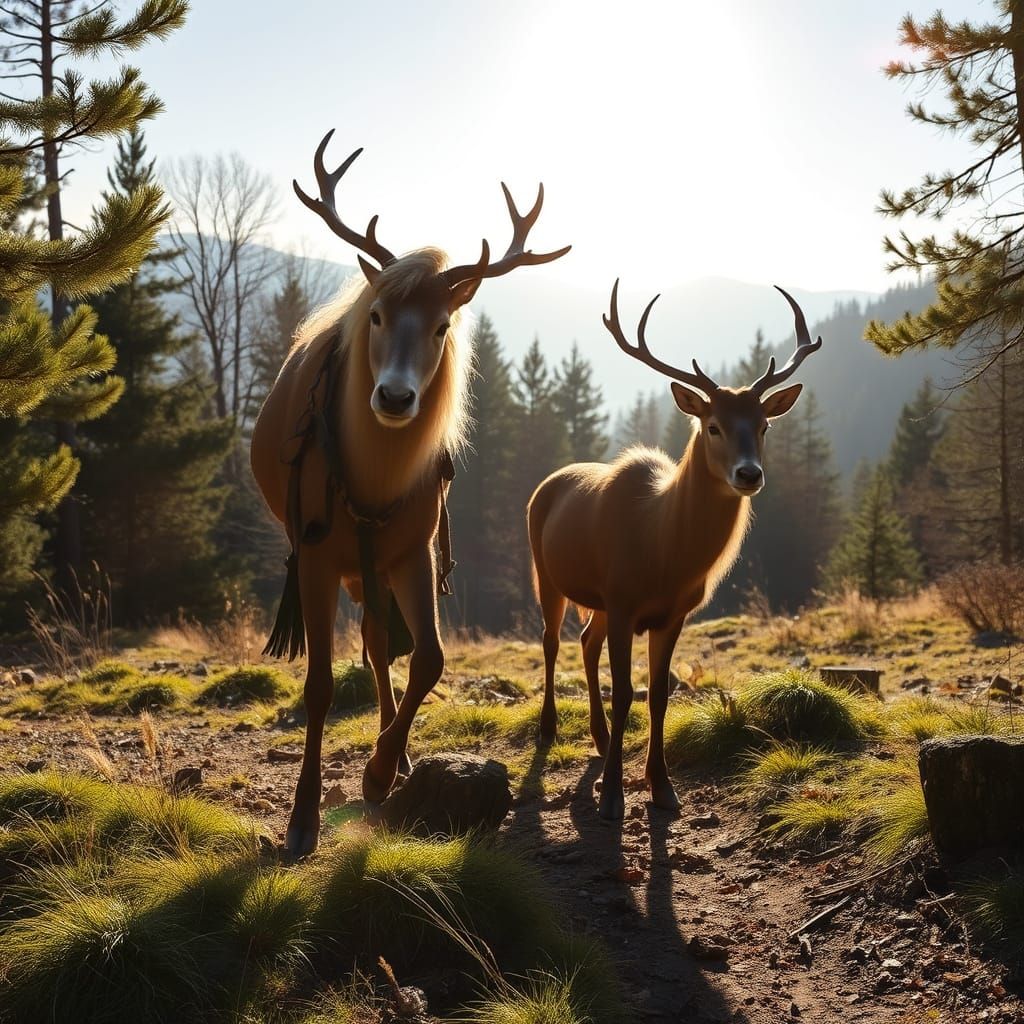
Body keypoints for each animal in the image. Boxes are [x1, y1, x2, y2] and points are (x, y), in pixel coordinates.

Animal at [251, 130, 570, 855]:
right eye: (375, 315)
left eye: (442, 327)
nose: (395, 397)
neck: (371, 485)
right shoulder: (315, 553)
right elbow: (318, 685)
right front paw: (303, 819)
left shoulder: (415, 548)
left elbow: (430, 658)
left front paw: (379, 770)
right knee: (368, 642)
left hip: (379, 564)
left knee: (378, 640)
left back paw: (392, 759)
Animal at [527, 280, 823, 820]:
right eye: (713, 426)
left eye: (764, 426)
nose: (749, 473)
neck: (662, 552)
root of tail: (548, 483)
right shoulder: (624, 600)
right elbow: (626, 691)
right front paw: (613, 795)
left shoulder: (672, 611)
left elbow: (660, 695)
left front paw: (662, 787)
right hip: (546, 573)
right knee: (552, 640)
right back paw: (549, 729)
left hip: (598, 600)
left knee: (586, 640)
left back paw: (601, 740)